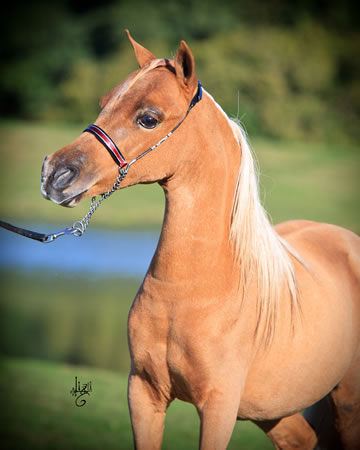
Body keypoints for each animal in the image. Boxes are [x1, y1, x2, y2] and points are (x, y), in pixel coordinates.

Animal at [41, 30, 360, 446]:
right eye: (104, 102)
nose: (55, 173)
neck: (192, 292)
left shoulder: (218, 408)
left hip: (346, 405)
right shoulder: (143, 394)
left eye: (148, 118)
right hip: (275, 411)